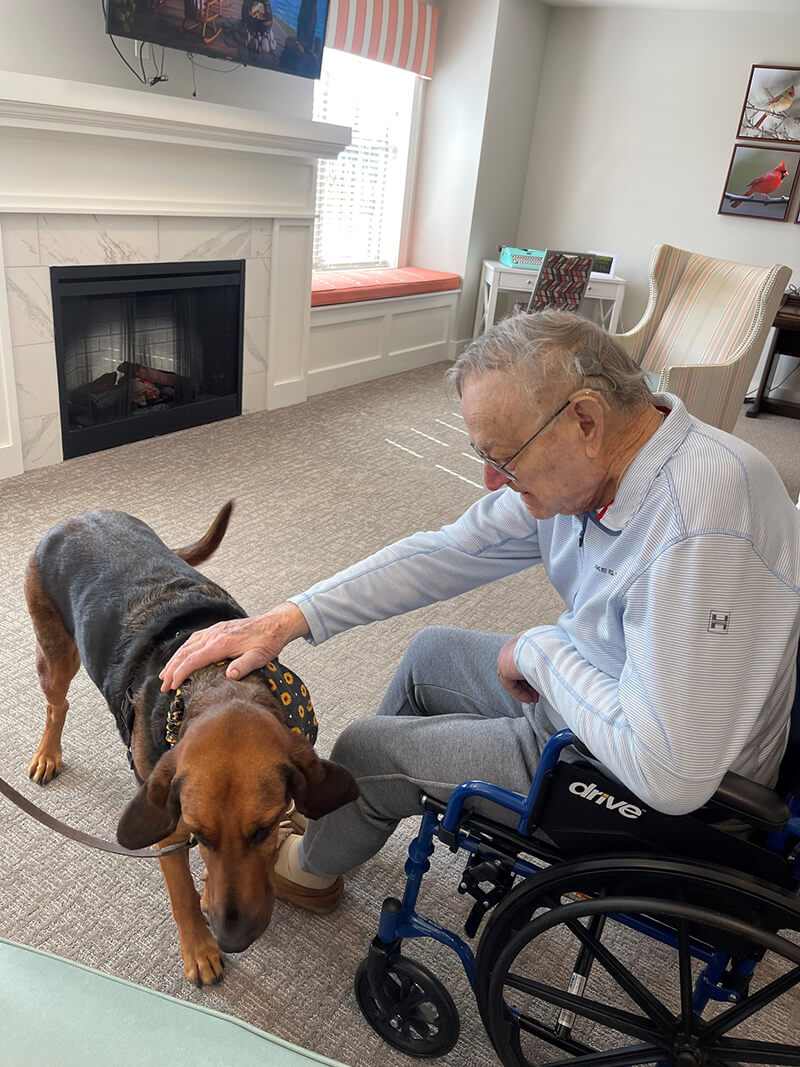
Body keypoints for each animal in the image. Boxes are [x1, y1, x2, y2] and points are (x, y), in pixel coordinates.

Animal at [24, 503, 356, 985]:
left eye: (262, 831)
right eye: (200, 836)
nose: (233, 941)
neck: (218, 682)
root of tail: (80, 515)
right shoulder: (169, 830)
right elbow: (181, 894)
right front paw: (199, 949)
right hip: (55, 655)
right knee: (56, 705)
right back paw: (48, 754)